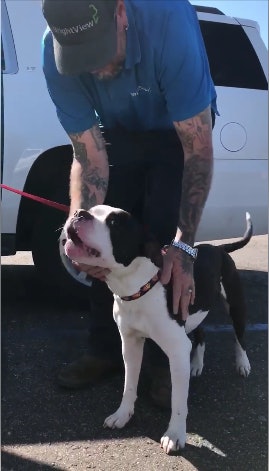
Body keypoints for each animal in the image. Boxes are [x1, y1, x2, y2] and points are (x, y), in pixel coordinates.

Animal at [60, 206, 251, 454]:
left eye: (114, 223)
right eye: (93, 210)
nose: (79, 213)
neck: (139, 287)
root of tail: (218, 248)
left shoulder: (177, 350)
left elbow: (178, 400)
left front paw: (175, 435)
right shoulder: (130, 344)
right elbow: (129, 384)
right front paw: (123, 414)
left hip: (235, 304)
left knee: (239, 336)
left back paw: (242, 363)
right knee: (201, 334)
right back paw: (196, 365)